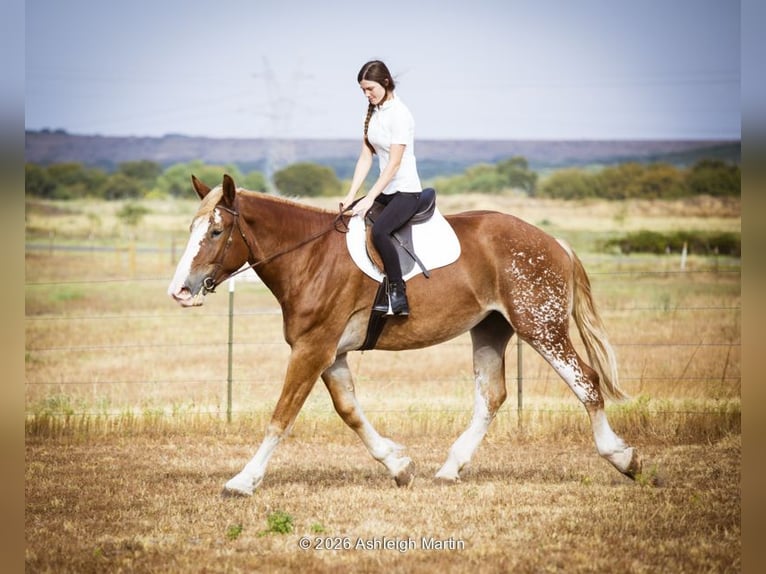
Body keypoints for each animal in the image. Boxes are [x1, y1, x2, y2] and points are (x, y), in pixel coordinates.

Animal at [167, 174, 642, 496]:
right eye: (191, 230)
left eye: (215, 232)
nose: (180, 291)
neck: (310, 256)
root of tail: (554, 242)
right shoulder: (330, 353)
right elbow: (350, 412)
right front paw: (398, 465)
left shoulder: (312, 349)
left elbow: (281, 417)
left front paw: (243, 480)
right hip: (491, 328)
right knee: (491, 396)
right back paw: (451, 468)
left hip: (541, 327)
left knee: (586, 382)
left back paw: (622, 457)